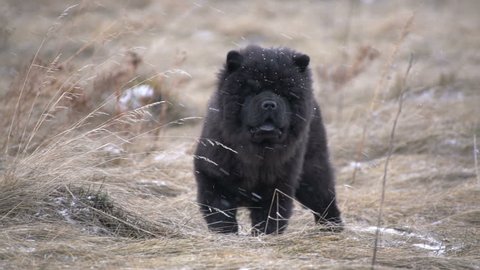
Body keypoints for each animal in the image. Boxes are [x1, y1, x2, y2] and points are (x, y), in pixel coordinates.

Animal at [194, 44, 342, 234]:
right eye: (252, 91)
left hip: (313, 168)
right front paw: (226, 233)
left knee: (323, 199)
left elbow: (269, 216)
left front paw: (264, 235)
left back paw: (333, 228)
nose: (270, 104)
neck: (257, 152)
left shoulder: (277, 185)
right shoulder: (214, 177)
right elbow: (220, 212)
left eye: (284, 93)